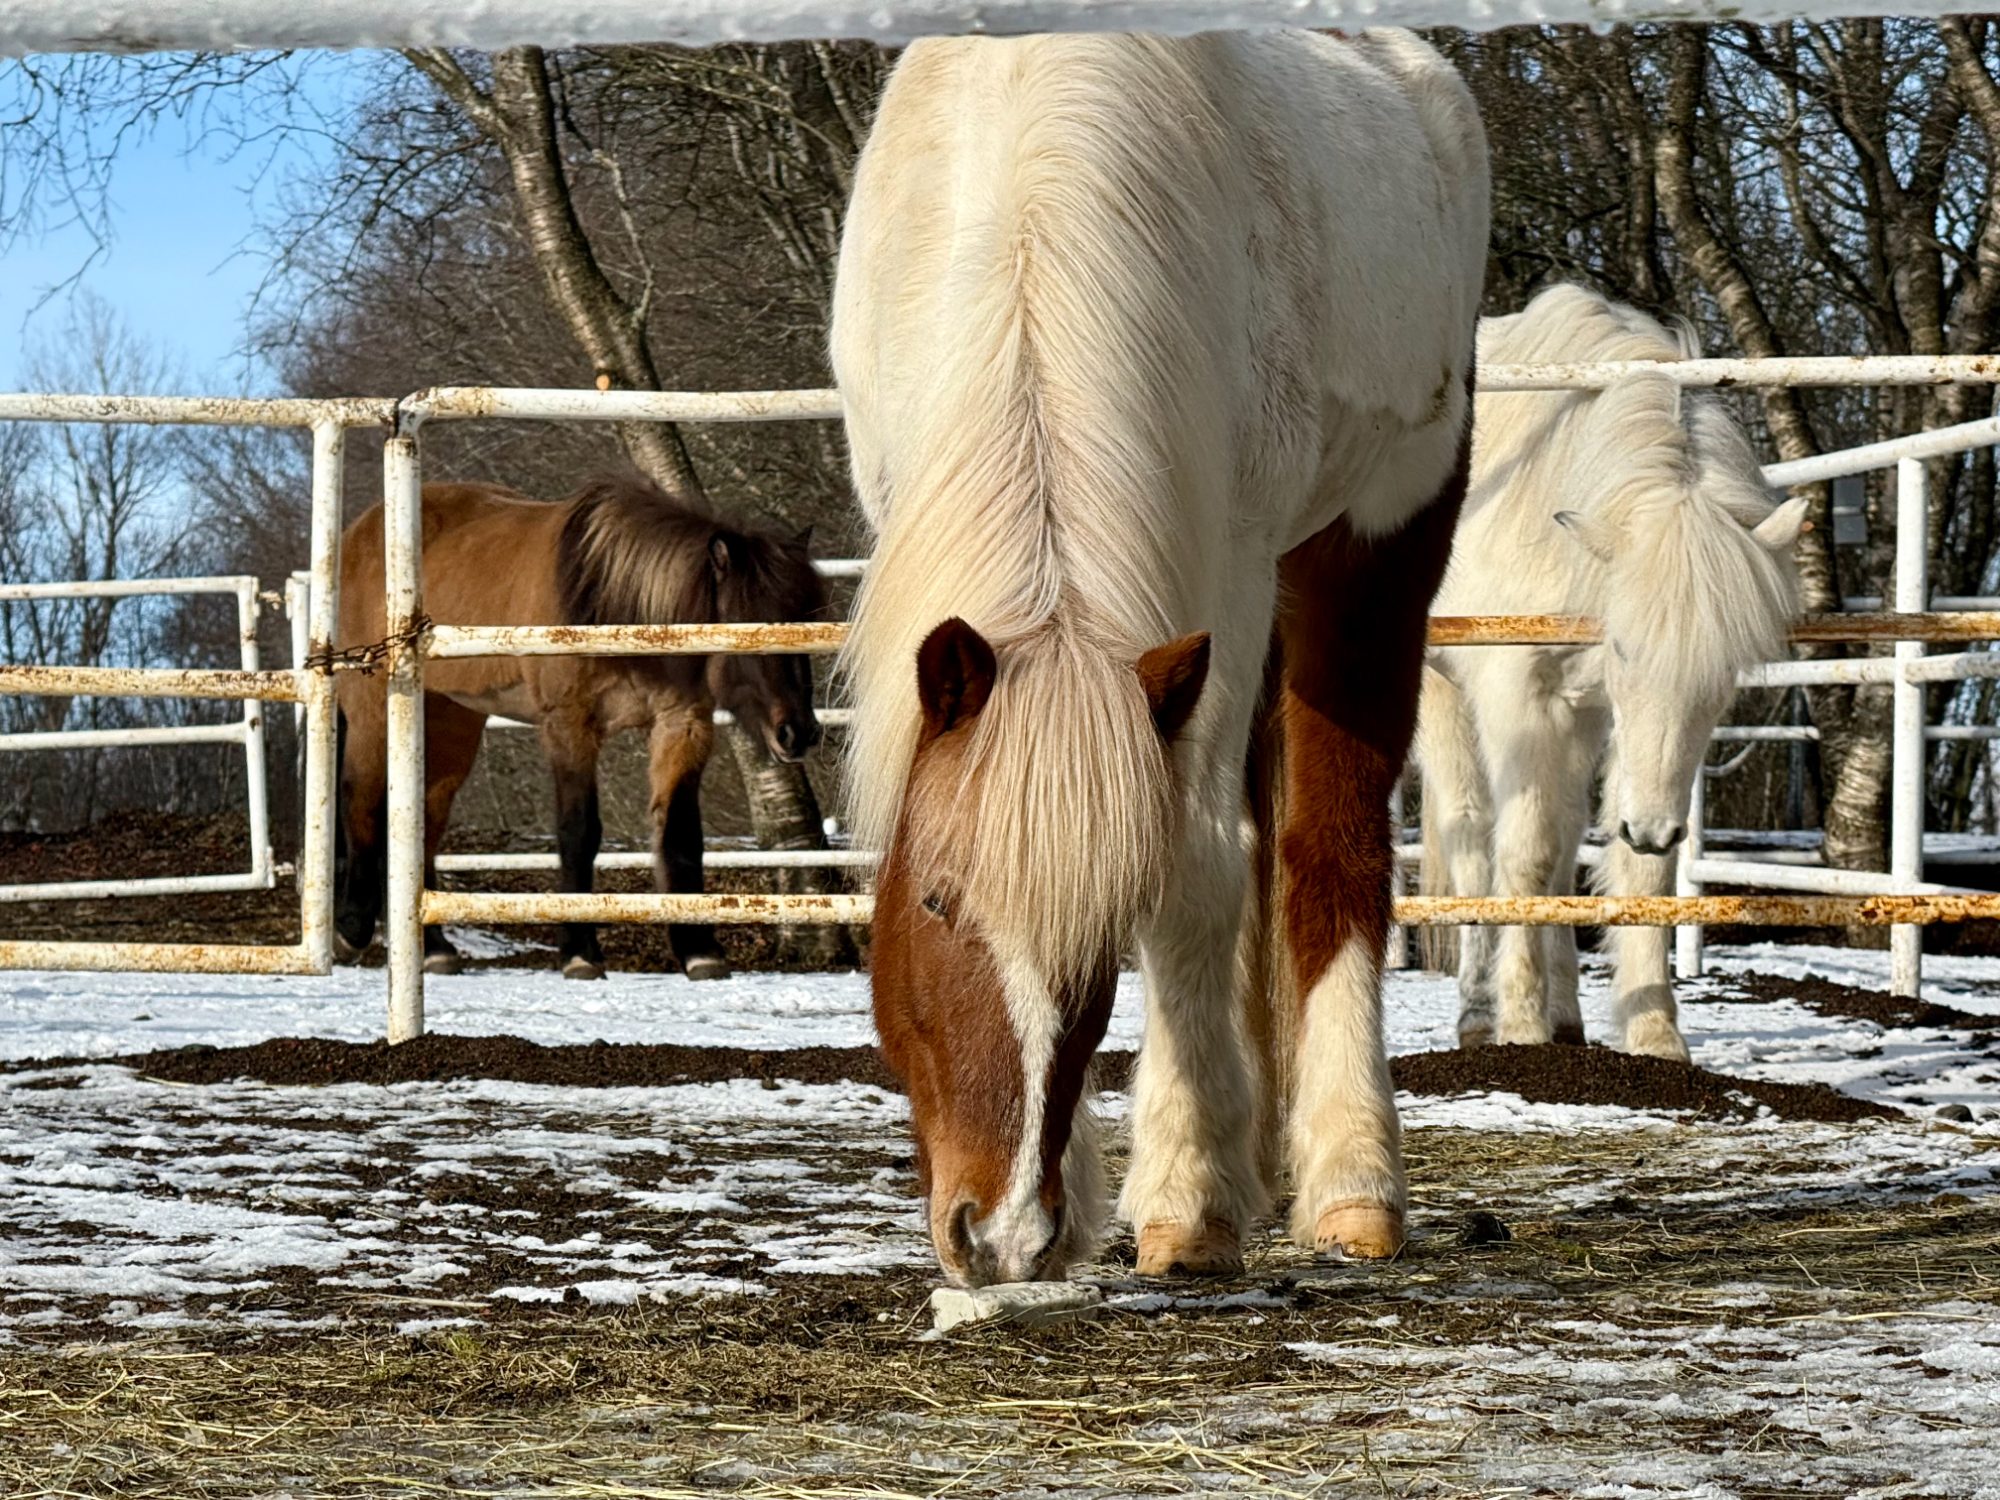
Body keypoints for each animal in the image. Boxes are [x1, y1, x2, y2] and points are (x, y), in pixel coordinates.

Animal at [332, 474, 826, 981]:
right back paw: (351, 929)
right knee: (359, 797)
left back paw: (434, 948)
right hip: (372, 704)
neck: (610, 601)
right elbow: (578, 832)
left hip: (452, 717)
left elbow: (681, 833)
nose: (798, 731)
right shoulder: (570, 724)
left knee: (425, 820)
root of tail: (359, 530)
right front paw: (580, 952)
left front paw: (700, 951)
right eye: (749, 622)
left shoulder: (681, 724)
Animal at [832, 30, 1489, 1287]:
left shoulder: (1224, 568)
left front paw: (1184, 1204)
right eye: (936, 902)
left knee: (1324, 852)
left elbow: (1198, 867)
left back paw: (1345, 1183)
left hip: (1369, 549)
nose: (1000, 1232)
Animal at [1416, 284, 1806, 1061]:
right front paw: (1522, 1026)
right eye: (1626, 646)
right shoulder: (1518, 697)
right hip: (1441, 689)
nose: (1653, 828)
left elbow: (1632, 865)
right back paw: (1480, 1015)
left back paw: (1567, 1016)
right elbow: (1527, 850)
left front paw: (1656, 1037)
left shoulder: (1620, 722)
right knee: (1472, 836)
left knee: (1566, 836)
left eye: (1723, 673)